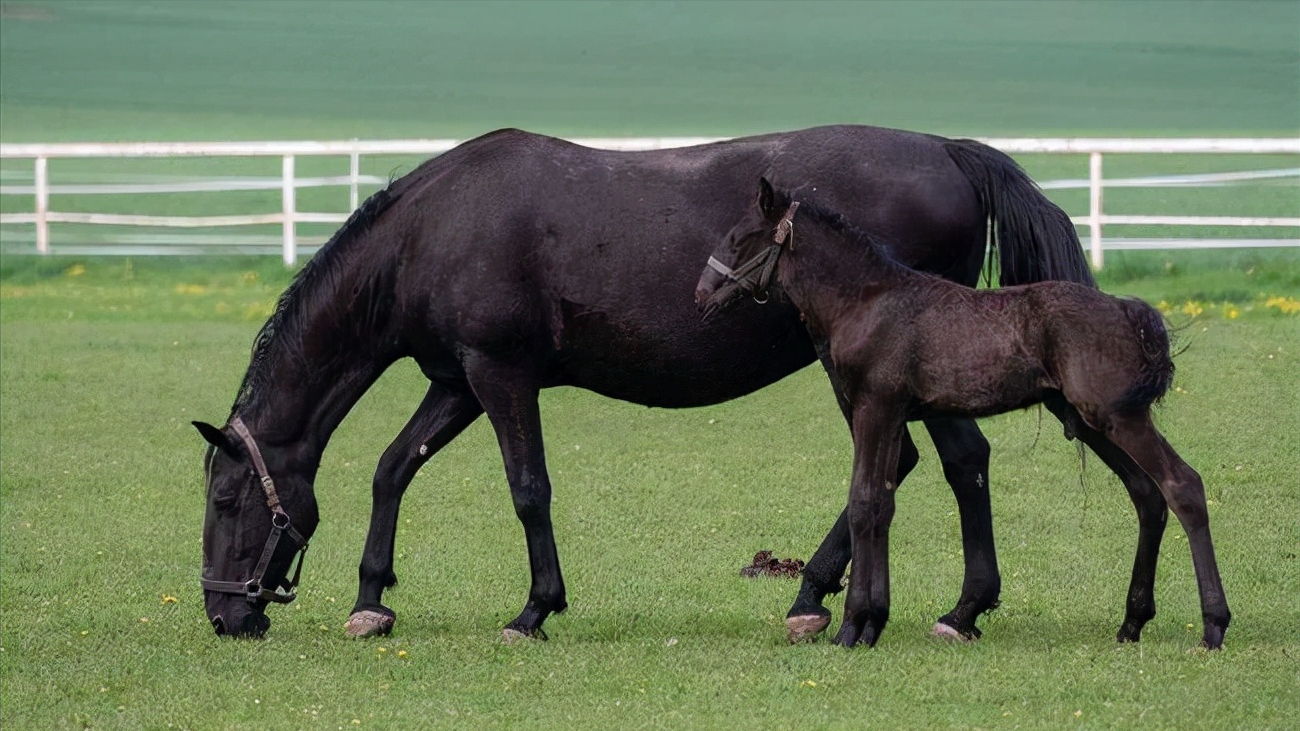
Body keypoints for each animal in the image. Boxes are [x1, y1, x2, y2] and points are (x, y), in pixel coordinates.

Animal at [192, 124, 1092, 637]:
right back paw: (842, 599)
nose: (224, 612)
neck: (432, 229)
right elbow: (391, 469)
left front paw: (535, 608)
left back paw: (943, 609)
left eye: (227, 501)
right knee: (937, 464)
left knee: (949, 461)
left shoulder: (500, 375)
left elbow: (528, 488)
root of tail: (948, 151)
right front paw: (371, 599)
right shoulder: (456, 380)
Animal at [691, 179, 1227, 645]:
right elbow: (881, 505)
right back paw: (1132, 623)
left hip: (1119, 418)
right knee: (1147, 494)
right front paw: (871, 623)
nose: (701, 293)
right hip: (1093, 420)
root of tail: (1127, 310)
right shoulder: (890, 415)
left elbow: (863, 502)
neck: (866, 300)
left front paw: (851, 627)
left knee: (1182, 485)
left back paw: (1213, 627)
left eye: (739, 237)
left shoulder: (874, 408)